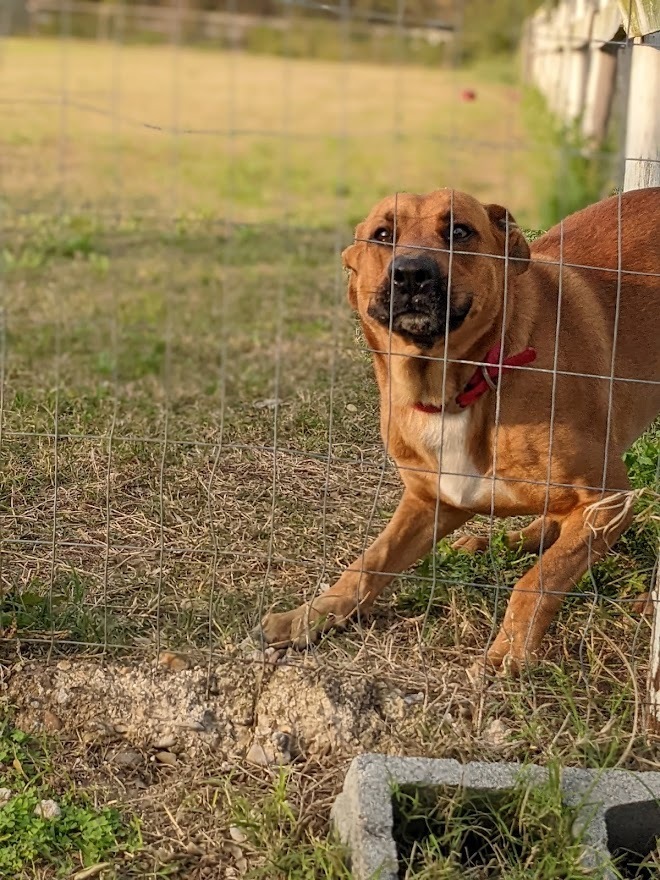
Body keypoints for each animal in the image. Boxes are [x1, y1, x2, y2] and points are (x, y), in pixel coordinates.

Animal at [260, 189, 660, 672]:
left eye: (459, 231)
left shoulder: (610, 497)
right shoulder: (431, 500)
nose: (411, 274)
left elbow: (537, 580)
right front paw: (309, 616)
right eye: (382, 235)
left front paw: (512, 649)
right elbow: (369, 561)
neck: (458, 389)